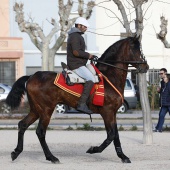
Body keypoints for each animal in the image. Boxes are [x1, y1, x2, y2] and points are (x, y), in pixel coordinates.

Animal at [5, 35, 149, 163]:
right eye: (135, 50)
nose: (145, 67)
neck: (109, 76)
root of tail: (31, 77)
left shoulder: (112, 113)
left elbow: (116, 135)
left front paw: (123, 156)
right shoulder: (107, 112)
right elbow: (111, 135)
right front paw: (93, 149)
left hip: (36, 110)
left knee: (23, 125)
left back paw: (16, 152)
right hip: (46, 110)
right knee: (40, 131)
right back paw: (51, 157)